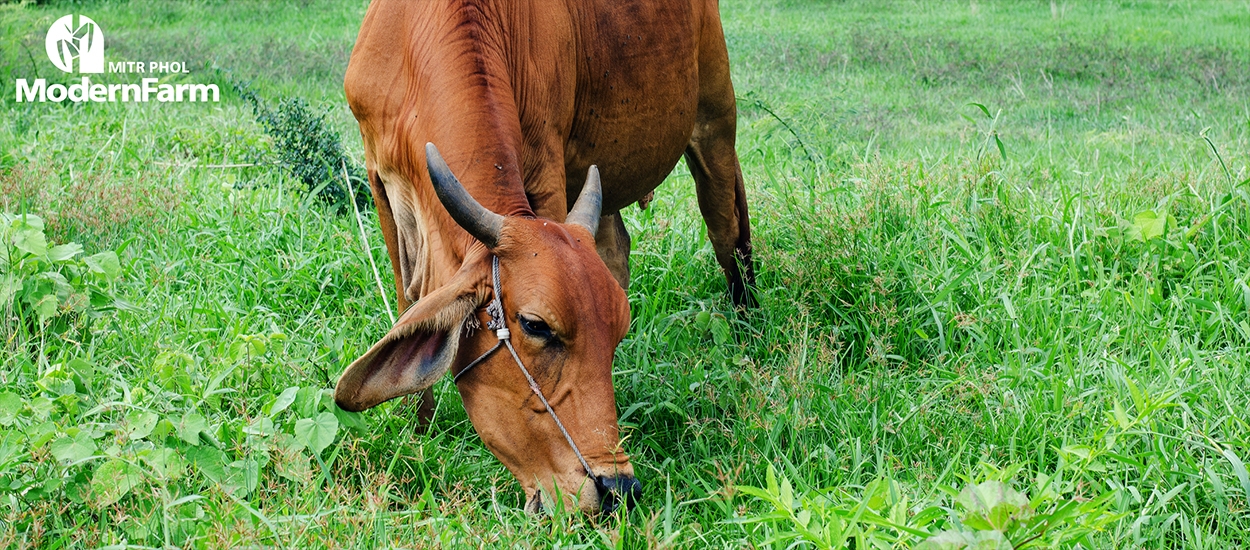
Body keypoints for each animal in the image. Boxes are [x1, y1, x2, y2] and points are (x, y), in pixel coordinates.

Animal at [332, 0, 755, 515]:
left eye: (619, 333)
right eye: (535, 326)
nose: (616, 489)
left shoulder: (548, 169)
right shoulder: (380, 181)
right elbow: (408, 301)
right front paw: (420, 430)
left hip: (715, 119)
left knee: (729, 231)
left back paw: (749, 329)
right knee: (617, 247)